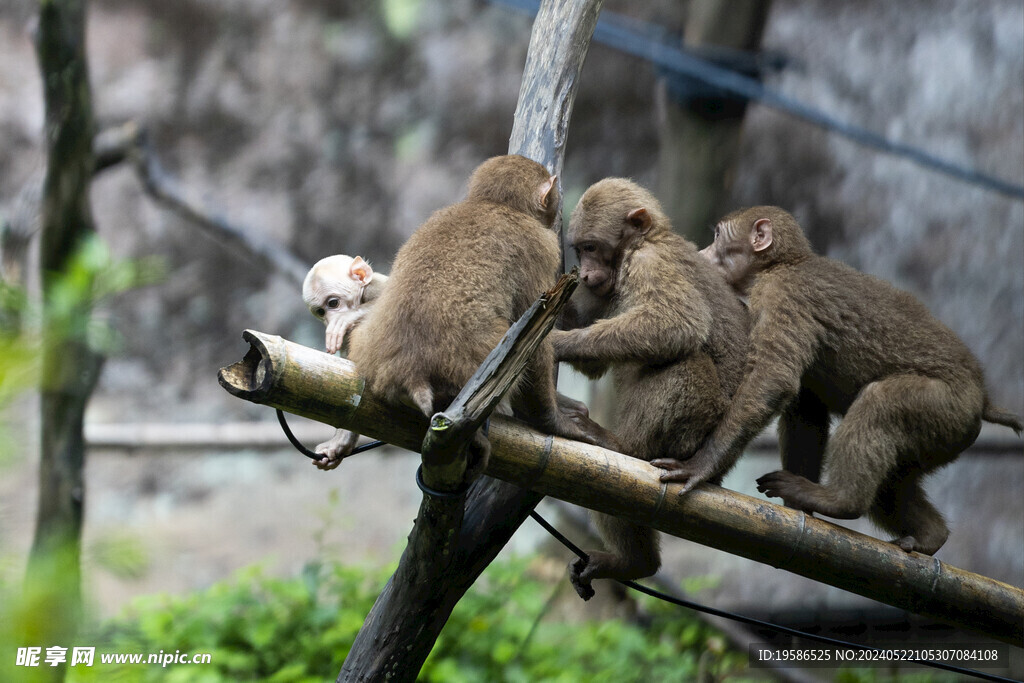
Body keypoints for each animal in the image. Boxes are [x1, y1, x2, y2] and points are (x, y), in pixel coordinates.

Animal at [301, 253, 389, 473]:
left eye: (333, 303)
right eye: (321, 311)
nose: (330, 318)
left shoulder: (376, 287)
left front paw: (347, 317)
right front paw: (341, 442)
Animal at [350, 154, 622, 481]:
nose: (556, 207)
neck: (494, 204)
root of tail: (411, 367)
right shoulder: (541, 247)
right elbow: (537, 336)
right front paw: (553, 420)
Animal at [548, 179, 749, 602]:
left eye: (592, 247)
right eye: (580, 249)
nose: (586, 274)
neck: (641, 244)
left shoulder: (649, 262)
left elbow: (675, 323)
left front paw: (556, 342)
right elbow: (596, 363)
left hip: (688, 439)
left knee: (685, 361)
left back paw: (622, 447)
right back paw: (636, 563)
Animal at [671, 206, 1024, 557]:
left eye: (718, 236)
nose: (702, 252)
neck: (781, 266)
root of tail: (983, 398)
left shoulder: (783, 293)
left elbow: (773, 379)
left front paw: (702, 464)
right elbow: (806, 409)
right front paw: (797, 511)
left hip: (949, 408)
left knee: (880, 402)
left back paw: (840, 502)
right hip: (946, 435)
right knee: (893, 479)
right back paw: (929, 535)